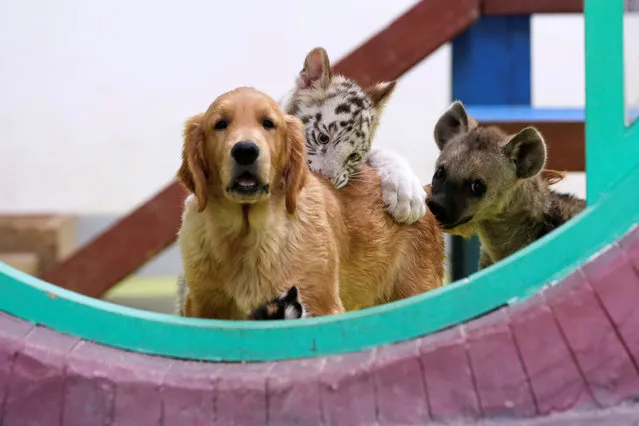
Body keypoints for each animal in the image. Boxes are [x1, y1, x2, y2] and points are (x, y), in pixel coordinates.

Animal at [178, 87, 442, 320]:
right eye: (220, 124)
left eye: (268, 123)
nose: (245, 150)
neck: (246, 234)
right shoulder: (202, 304)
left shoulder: (319, 304)